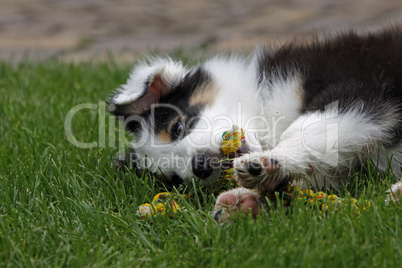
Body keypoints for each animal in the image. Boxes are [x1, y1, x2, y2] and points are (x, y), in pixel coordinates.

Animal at [108, 26, 400, 220]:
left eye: (177, 128)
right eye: (176, 180)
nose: (200, 166)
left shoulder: (354, 88)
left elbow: (308, 127)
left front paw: (269, 161)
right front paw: (244, 201)